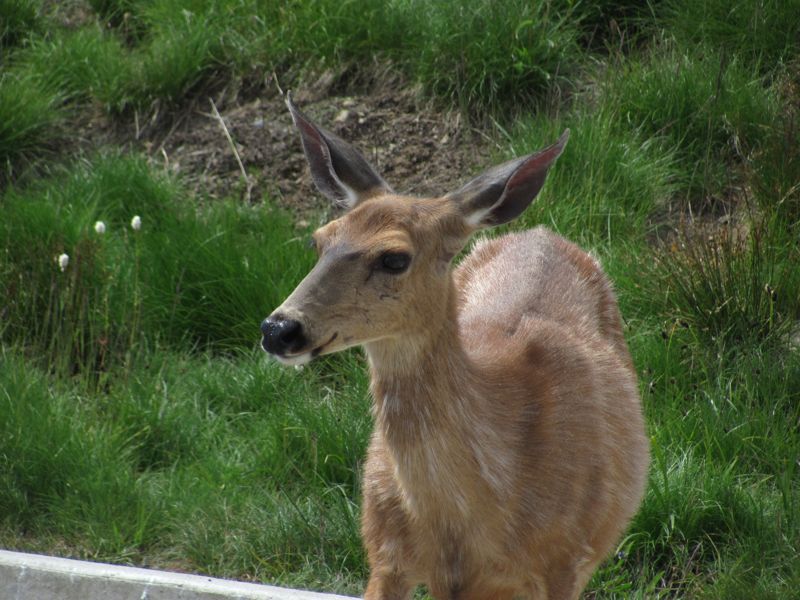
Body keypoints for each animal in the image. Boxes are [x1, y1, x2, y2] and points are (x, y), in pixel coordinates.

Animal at [262, 95, 648, 600]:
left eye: (394, 258)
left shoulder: (563, 561)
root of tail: (540, 232)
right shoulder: (383, 553)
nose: (278, 328)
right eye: (318, 241)